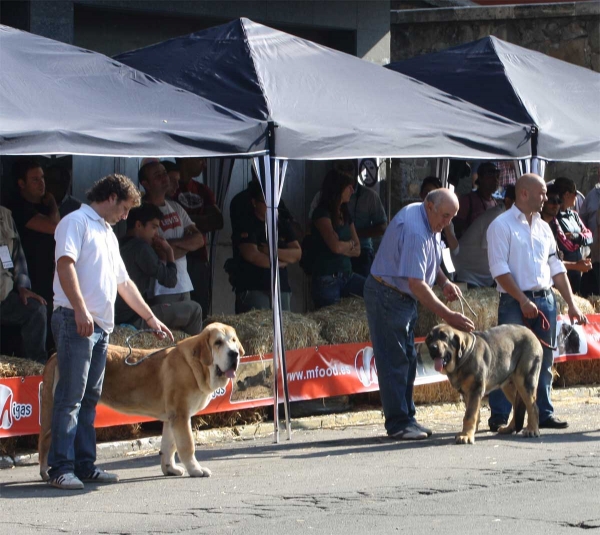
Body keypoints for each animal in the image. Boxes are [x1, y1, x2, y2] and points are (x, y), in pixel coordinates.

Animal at [38, 322, 241, 482]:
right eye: (218, 343)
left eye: (233, 341)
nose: (235, 353)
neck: (196, 365)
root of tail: (55, 355)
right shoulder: (181, 416)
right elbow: (187, 445)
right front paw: (196, 470)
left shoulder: (172, 418)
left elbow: (169, 446)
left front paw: (170, 469)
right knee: (46, 441)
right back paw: (47, 472)